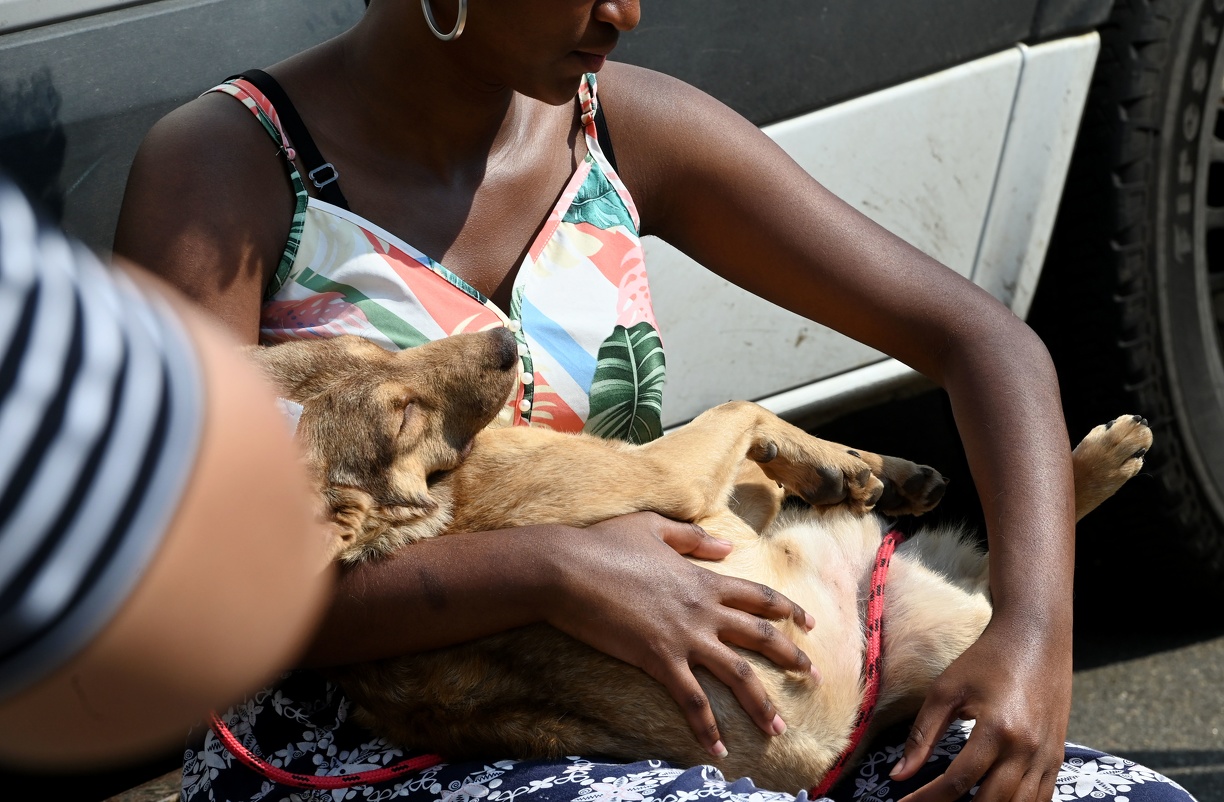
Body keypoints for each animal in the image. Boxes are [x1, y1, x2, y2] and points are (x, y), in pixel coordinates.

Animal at [250, 330, 1155, 793]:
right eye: (399, 416)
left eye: (372, 344)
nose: (505, 337)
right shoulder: (673, 476)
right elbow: (741, 406)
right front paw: (843, 462)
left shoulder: (705, 488)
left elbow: (764, 439)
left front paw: (859, 464)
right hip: (955, 621)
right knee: (1012, 589)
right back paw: (1103, 461)